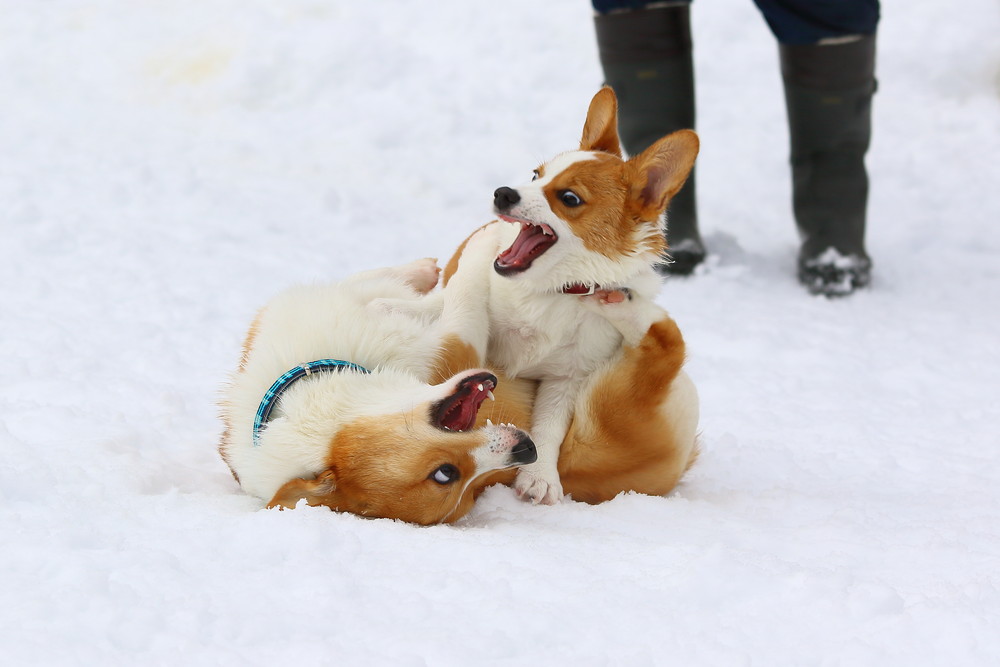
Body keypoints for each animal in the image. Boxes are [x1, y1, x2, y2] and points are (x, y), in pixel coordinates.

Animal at [215, 258, 536, 524]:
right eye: (446, 474)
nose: (528, 450)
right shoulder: (454, 345)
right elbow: (466, 286)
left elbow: (370, 278)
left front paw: (423, 270)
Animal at [442, 86, 700, 504]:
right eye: (536, 174)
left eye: (569, 198)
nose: (502, 192)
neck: (551, 290)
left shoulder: (566, 379)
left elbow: (548, 428)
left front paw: (540, 476)